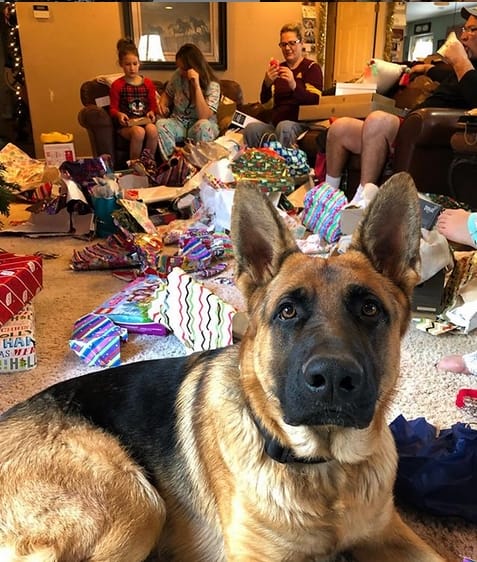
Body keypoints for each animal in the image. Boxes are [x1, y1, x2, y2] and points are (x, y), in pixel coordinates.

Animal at [0, 172, 445, 562]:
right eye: (287, 311)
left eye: (369, 309)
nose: (333, 378)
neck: (326, 468)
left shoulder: (391, 535)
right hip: (138, 505)